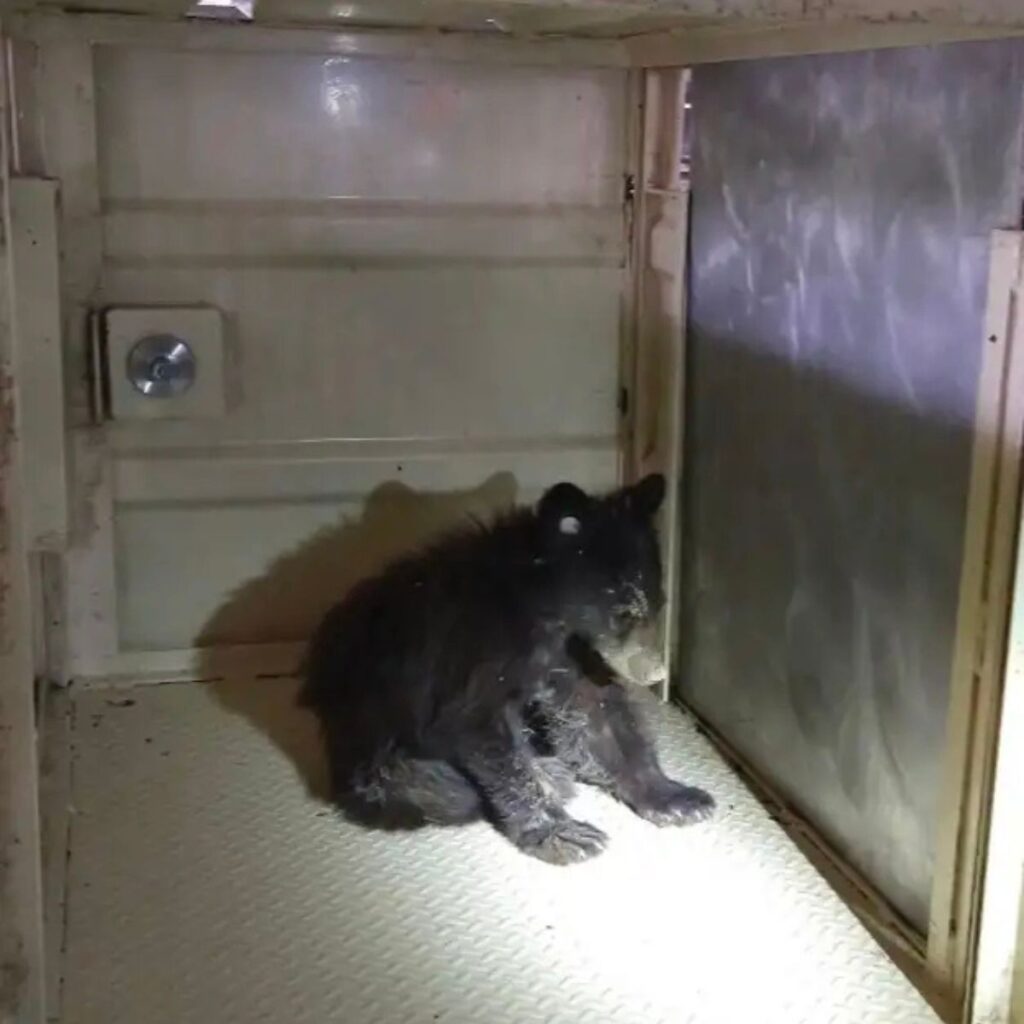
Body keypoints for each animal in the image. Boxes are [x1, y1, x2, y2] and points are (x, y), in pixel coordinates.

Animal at [300, 473, 715, 864]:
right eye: (623, 610)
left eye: (658, 604)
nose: (657, 675)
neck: (543, 612)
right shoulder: (477, 657)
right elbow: (482, 732)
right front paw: (560, 833)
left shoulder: (576, 657)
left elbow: (598, 714)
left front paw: (674, 798)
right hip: (384, 766)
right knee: (442, 792)